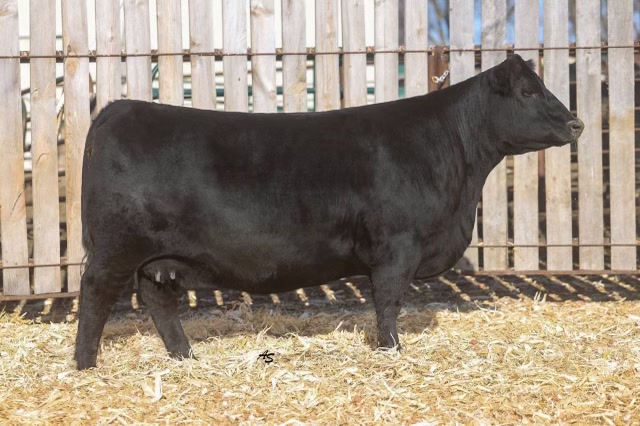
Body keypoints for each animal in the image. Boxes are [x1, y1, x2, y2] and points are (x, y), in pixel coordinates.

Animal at [75, 54, 583, 369]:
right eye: (527, 92)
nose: (577, 123)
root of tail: (117, 109)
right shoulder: (397, 246)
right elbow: (388, 302)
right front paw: (392, 351)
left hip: (158, 259)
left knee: (158, 300)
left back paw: (184, 357)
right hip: (116, 248)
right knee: (95, 294)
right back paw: (85, 365)